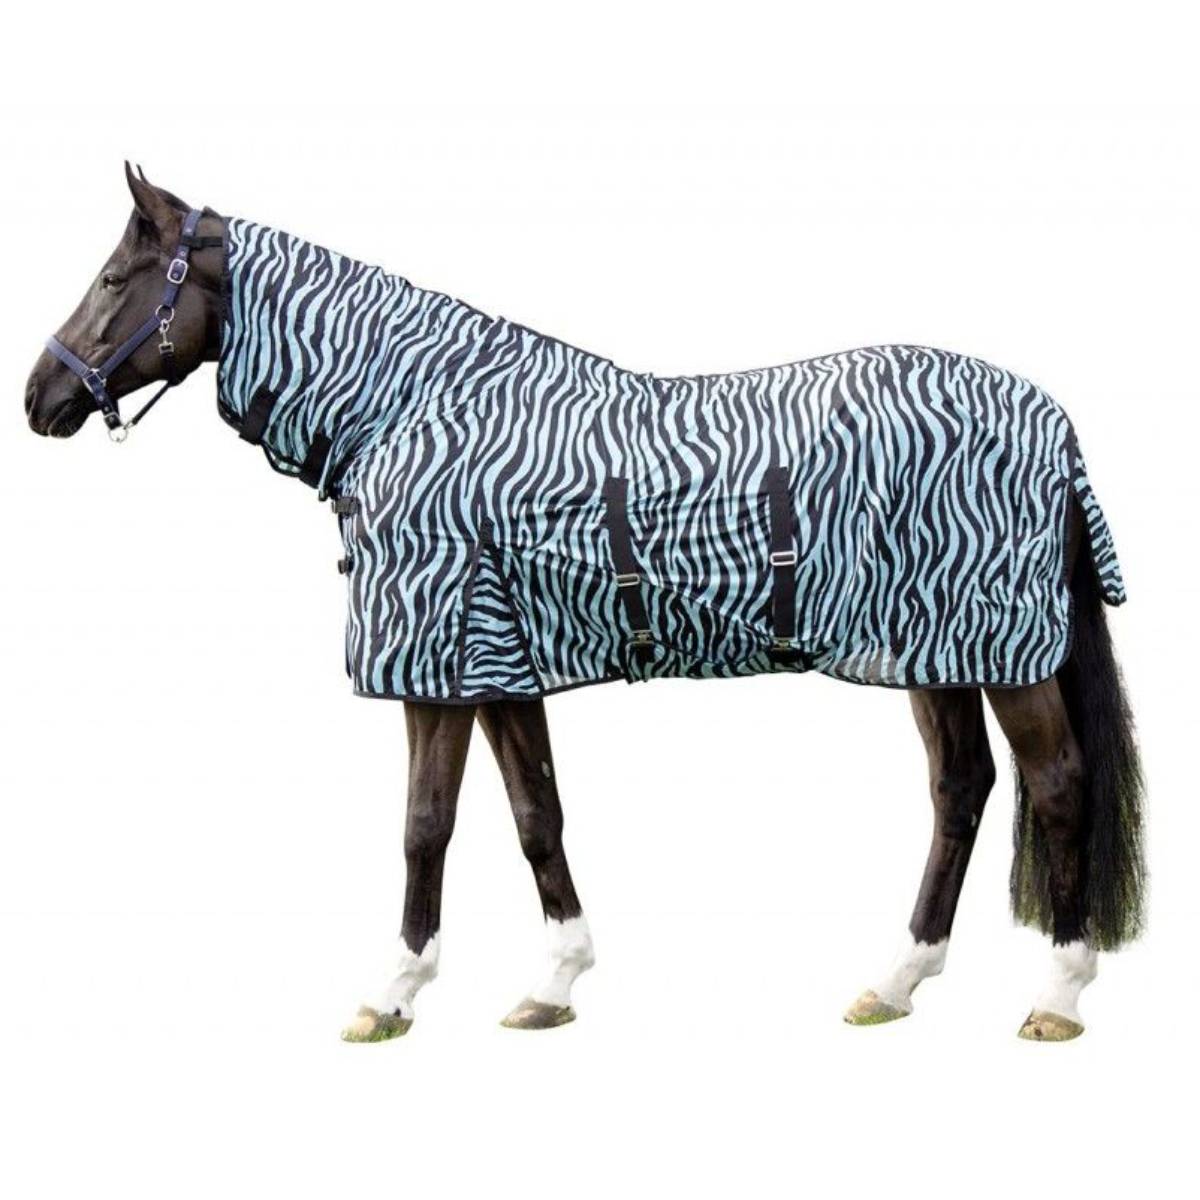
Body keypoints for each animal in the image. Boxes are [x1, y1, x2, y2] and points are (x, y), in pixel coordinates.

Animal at [25, 165, 1145, 1042]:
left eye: (115, 279)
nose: (40, 397)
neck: (417, 407)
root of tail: (1051, 420)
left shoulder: (439, 669)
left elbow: (425, 824)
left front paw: (393, 993)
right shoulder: (500, 665)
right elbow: (537, 816)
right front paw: (554, 984)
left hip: (1002, 651)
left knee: (1058, 789)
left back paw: (1058, 996)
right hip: (934, 654)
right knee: (961, 790)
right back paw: (895, 982)